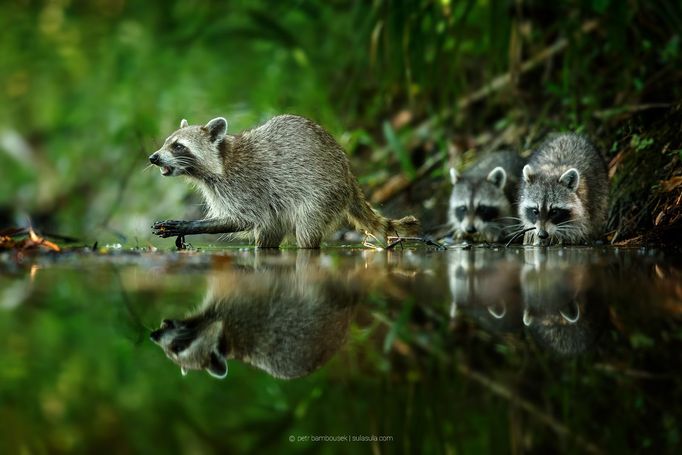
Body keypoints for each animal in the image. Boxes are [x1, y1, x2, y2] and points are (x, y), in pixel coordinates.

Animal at [147, 116, 418, 248]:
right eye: (167, 142)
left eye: (178, 146)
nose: (153, 157)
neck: (220, 161)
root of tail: (349, 175)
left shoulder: (245, 184)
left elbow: (243, 219)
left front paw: (189, 225)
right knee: (268, 234)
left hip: (323, 195)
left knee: (307, 230)